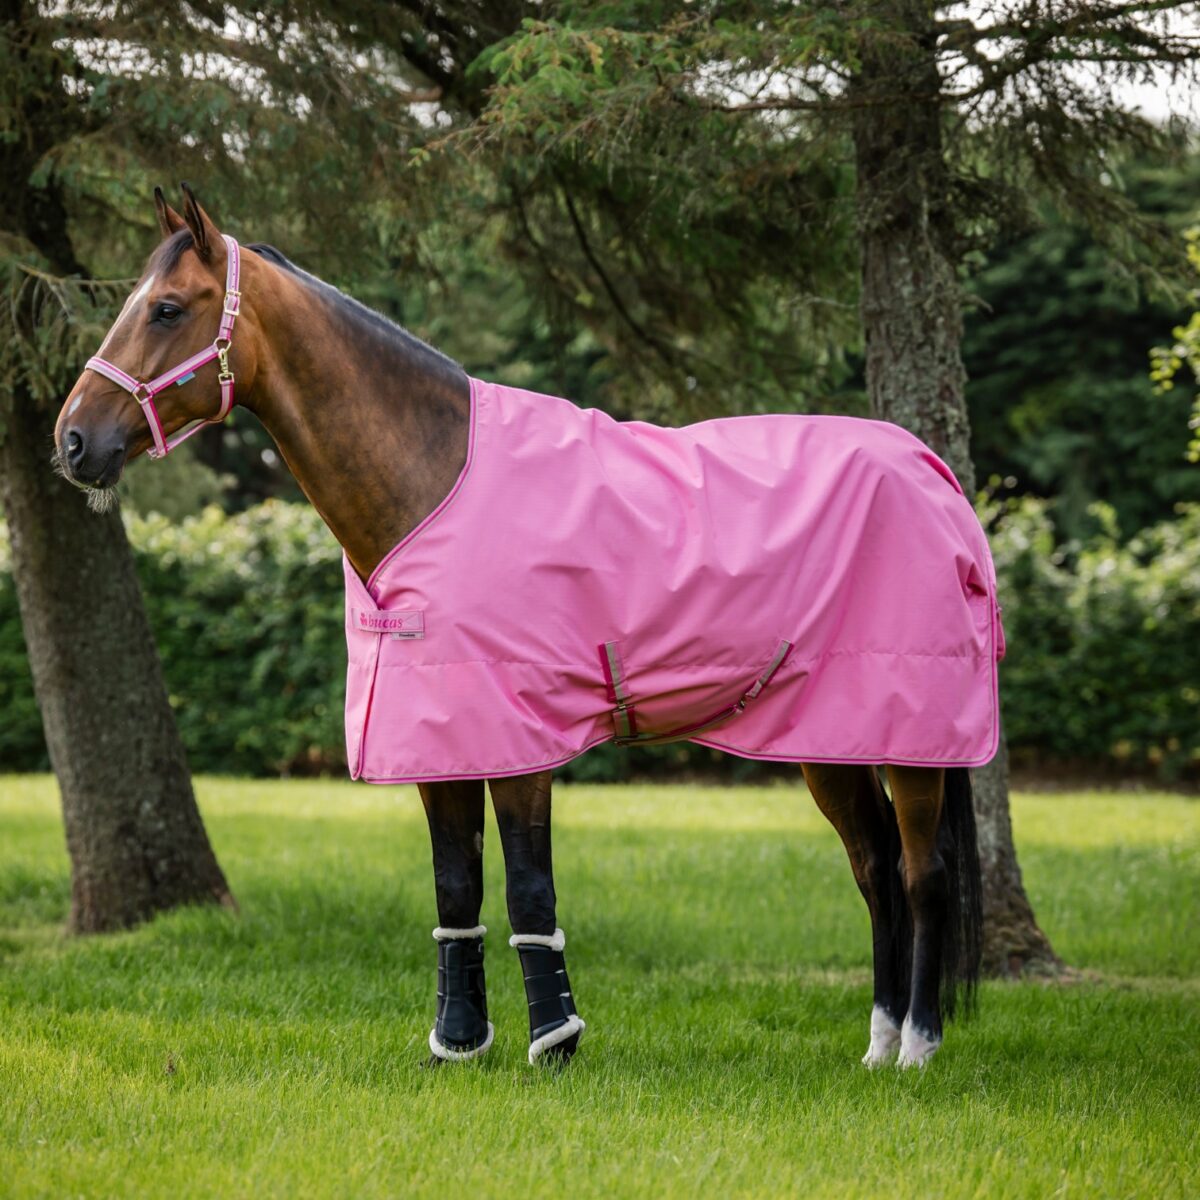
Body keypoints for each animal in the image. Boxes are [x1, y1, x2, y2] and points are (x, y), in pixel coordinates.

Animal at [54, 186, 993, 1070]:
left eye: (166, 307)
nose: (71, 442)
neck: (432, 480)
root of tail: (931, 471)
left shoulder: (520, 743)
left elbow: (528, 890)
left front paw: (556, 1042)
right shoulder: (438, 743)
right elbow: (455, 889)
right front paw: (460, 1042)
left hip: (914, 741)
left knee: (922, 873)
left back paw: (918, 1047)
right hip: (830, 738)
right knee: (874, 871)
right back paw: (876, 1045)